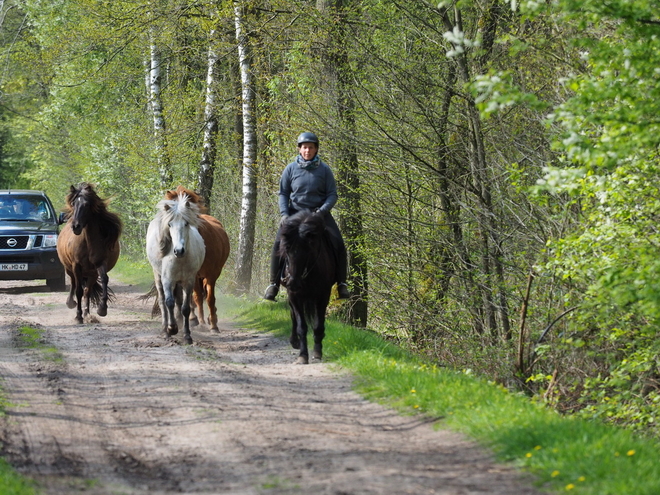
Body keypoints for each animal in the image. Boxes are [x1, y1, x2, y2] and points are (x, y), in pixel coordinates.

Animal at [56, 184, 122, 324]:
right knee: (74, 283)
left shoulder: (100, 264)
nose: (76, 226)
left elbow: (104, 280)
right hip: (69, 268)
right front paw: (78, 316)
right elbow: (78, 290)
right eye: (73, 203)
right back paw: (71, 303)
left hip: (91, 274)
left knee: (87, 290)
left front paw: (102, 309)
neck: (88, 243)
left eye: (86, 205)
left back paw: (87, 315)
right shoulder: (76, 266)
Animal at [164, 186, 231, 334]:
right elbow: (197, 297)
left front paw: (213, 325)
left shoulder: (212, 274)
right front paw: (197, 320)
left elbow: (210, 298)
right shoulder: (192, 275)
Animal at [278, 209, 336, 364]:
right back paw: (294, 342)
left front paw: (317, 352)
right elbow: (301, 326)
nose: (293, 282)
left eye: (308, 251)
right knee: (293, 315)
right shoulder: (294, 296)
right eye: (286, 250)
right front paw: (303, 355)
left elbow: (318, 325)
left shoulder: (323, 296)